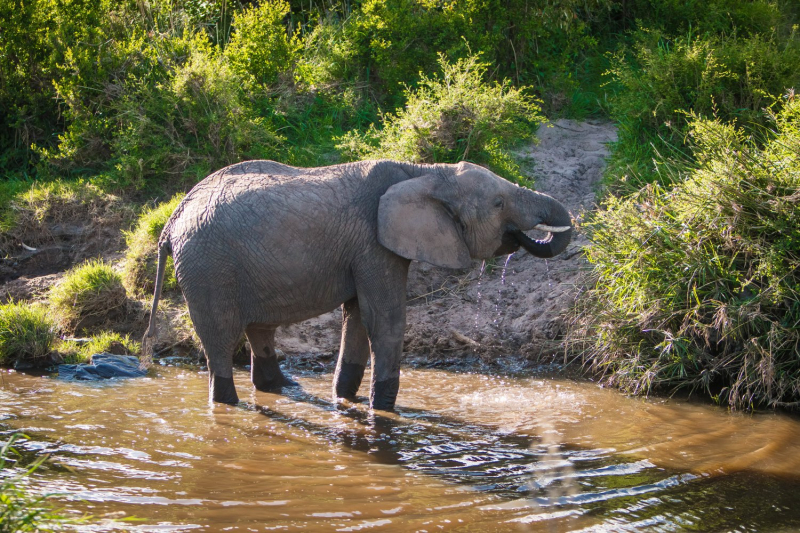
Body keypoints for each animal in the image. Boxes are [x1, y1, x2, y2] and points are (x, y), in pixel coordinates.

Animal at [141, 158, 572, 408]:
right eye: (499, 204)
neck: (427, 172)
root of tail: (173, 219)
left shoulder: (365, 249)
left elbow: (359, 317)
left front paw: (344, 398)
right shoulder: (373, 243)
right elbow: (385, 319)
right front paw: (382, 410)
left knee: (259, 329)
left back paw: (284, 388)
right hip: (207, 267)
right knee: (219, 341)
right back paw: (230, 402)